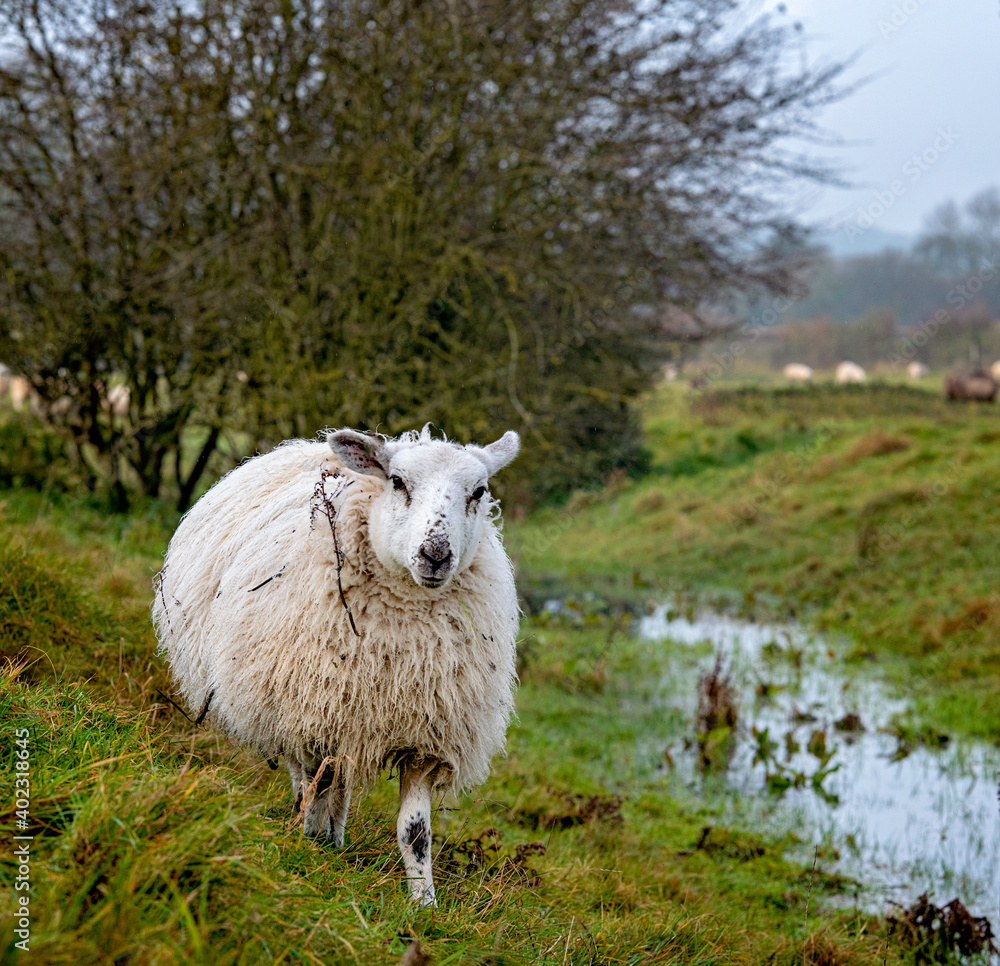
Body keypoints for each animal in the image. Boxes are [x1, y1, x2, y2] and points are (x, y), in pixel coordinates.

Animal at [152, 426, 521, 906]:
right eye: (397, 481)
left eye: (478, 492)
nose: (435, 554)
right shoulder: (315, 714)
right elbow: (316, 788)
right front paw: (307, 849)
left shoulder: (424, 736)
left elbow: (415, 831)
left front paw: (423, 902)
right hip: (292, 700)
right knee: (305, 777)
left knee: (341, 783)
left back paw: (337, 838)